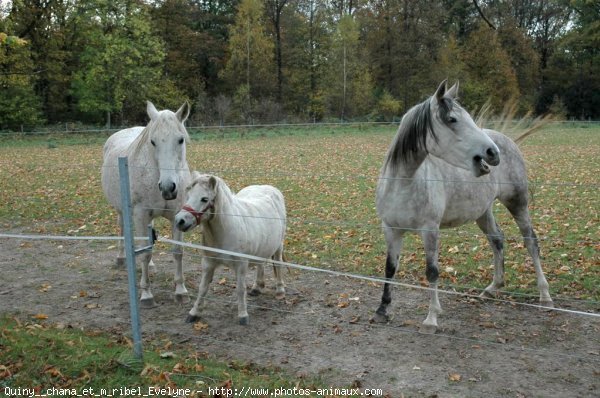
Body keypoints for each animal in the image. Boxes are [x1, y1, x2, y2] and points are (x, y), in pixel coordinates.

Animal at [100, 101, 190, 306]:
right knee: (122, 230)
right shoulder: (140, 215)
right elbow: (144, 253)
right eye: (153, 141)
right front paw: (147, 294)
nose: (168, 187)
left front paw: (180, 290)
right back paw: (121, 258)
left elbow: (177, 252)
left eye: (180, 140)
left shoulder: (177, 216)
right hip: (122, 211)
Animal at [175, 173, 288, 324]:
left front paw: (243, 316)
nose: (179, 221)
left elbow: (240, 289)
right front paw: (194, 313)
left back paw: (280, 290)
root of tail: (270, 188)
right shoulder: (208, 263)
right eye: (188, 195)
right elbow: (203, 288)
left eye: (204, 199)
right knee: (260, 263)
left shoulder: (241, 265)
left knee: (278, 264)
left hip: (278, 246)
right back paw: (257, 287)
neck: (226, 230)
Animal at [376, 81, 552, 332]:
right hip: (483, 212)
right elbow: (390, 268)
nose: (492, 153)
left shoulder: (430, 230)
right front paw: (382, 310)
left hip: (517, 204)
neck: (403, 183)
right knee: (497, 240)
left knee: (531, 242)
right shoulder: (391, 229)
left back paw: (545, 295)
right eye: (452, 119)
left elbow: (432, 271)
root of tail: (507, 140)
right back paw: (492, 289)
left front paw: (431, 319)